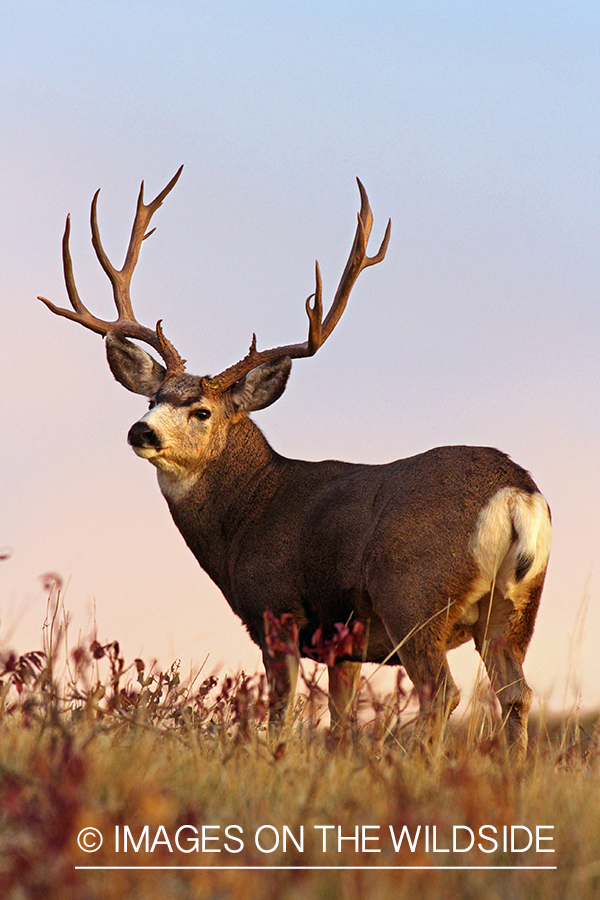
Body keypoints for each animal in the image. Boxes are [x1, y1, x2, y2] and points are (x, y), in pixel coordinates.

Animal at [39, 169, 552, 760]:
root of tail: (516, 494)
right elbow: (340, 719)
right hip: (515, 609)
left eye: (201, 410)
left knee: (443, 693)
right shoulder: (343, 644)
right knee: (516, 694)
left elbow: (280, 714)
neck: (249, 511)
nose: (141, 431)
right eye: (152, 398)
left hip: (414, 597)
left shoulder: (277, 612)